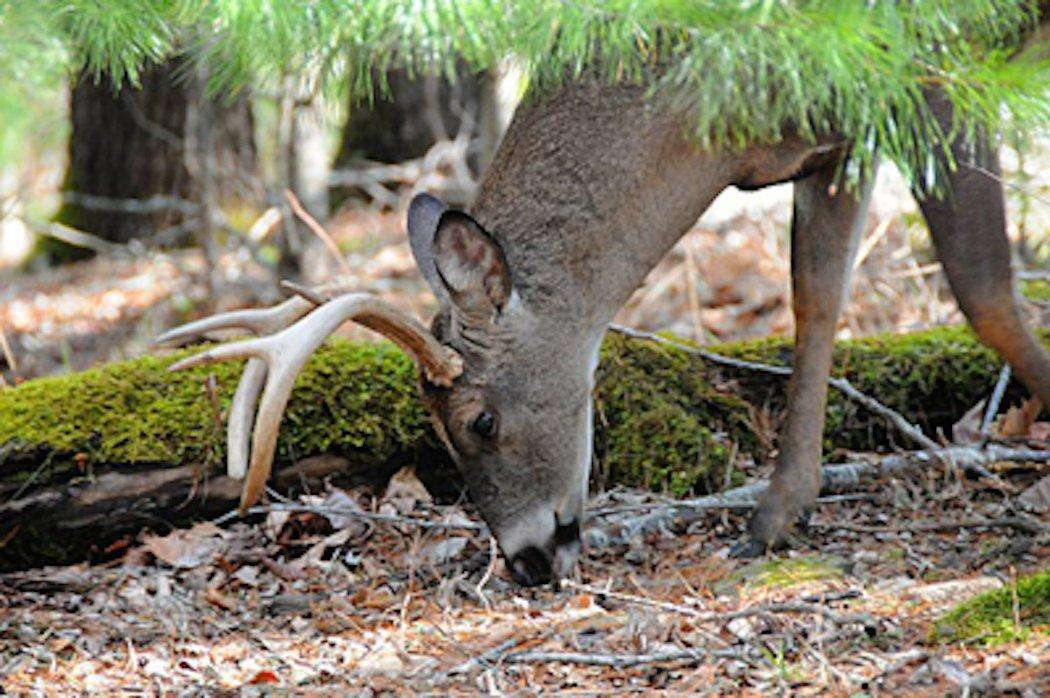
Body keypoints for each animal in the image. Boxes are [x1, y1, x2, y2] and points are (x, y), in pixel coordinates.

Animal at [155, 65, 1050, 583]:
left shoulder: (936, 75)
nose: (526, 564)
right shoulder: (834, 142)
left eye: (480, 420)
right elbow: (815, 296)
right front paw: (774, 517)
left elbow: (982, 290)